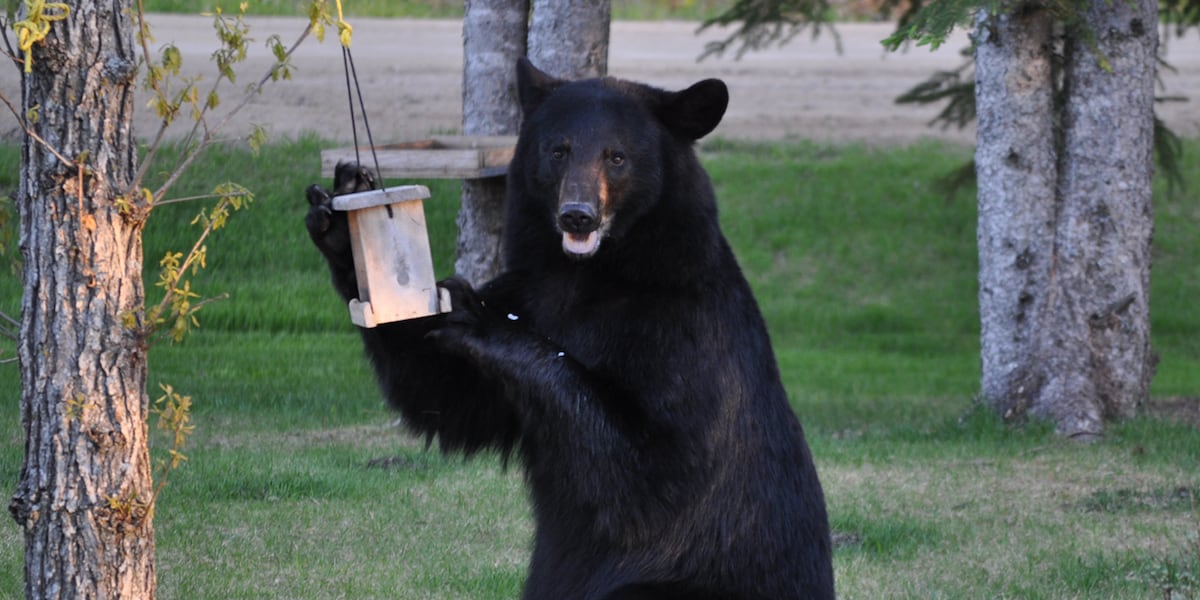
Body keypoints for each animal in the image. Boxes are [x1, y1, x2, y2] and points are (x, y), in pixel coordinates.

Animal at [304, 58, 834, 600]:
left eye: (617, 156)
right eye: (558, 150)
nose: (577, 214)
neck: (586, 273)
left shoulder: (683, 331)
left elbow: (654, 468)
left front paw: (480, 316)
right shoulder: (530, 287)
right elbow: (450, 396)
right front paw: (344, 218)